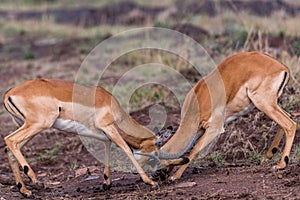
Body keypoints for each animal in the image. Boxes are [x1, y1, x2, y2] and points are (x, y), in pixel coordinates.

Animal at [3, 78, 189, 197]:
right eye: (155, 153)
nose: (161, 175)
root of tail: (9, 93)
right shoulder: (109, 127)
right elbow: (127, 150)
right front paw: (150, 182)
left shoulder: (105, 134)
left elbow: (107, 149)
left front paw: (107, 183)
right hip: (38, 124)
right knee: (9, 140)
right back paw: (36, 181)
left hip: (30, 127)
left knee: (10, 149)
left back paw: (25, 191)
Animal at [158, 51, 296, 180]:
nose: (159, 178)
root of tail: (283, 67)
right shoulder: (201, 130)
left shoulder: (215, 128)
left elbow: (195, 150)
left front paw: (175, 176)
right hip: (271, 104)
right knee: (287, 118)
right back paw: (267, 157)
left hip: (263, 103)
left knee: (290, 125)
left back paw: (280, 165)